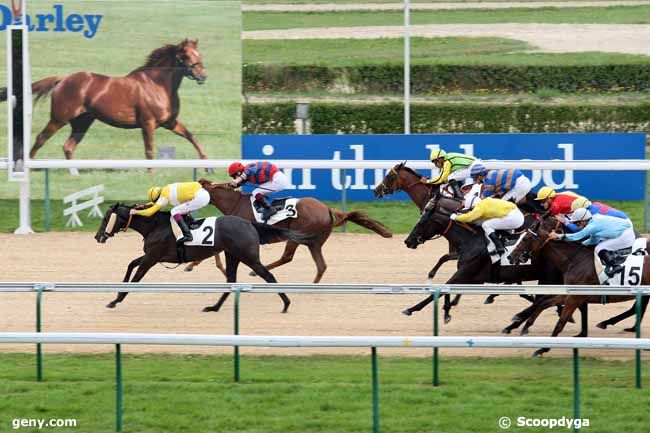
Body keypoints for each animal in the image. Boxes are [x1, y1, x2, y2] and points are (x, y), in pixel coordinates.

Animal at [0, 38, 208, 163]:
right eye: (185, 56)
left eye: (199, 55)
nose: (203, 76)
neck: (157, 85)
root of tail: (62, 79)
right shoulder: (148, 123)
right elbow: (149, 150)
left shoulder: (169, 122)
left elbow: (192, 137)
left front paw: (207, 164)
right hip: (59, 118)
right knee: (41, 139)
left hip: (82, 121)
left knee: (68, 146)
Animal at [96, 204, 314, 312]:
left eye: (106, 218)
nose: (98, 237)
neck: (155, 226)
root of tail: (249, 223)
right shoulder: (150, 255)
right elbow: (130, 265)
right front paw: (116, 294)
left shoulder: (151, 257)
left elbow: (136, 277)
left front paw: (116, 300)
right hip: (232, 255)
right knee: (231, 280)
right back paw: (214, 307)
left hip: (248, 257)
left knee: (268, 276)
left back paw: (286, 304)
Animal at [182, 177, 390, 282]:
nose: (185, 200)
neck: (236, 203)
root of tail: (327, 209)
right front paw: (192, 265)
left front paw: (192, 264)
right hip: (314, 242)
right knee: (321, 266)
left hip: (297, 236)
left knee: (287, 257)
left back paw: (256, 272)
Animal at [508, 215, 644, 354]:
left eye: (525, 238)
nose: (510, 257)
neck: (575, 259)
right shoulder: (570, 292)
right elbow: (544, 304)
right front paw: (525, 326)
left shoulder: (576, 296)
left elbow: (561, 321)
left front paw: (543, 348)